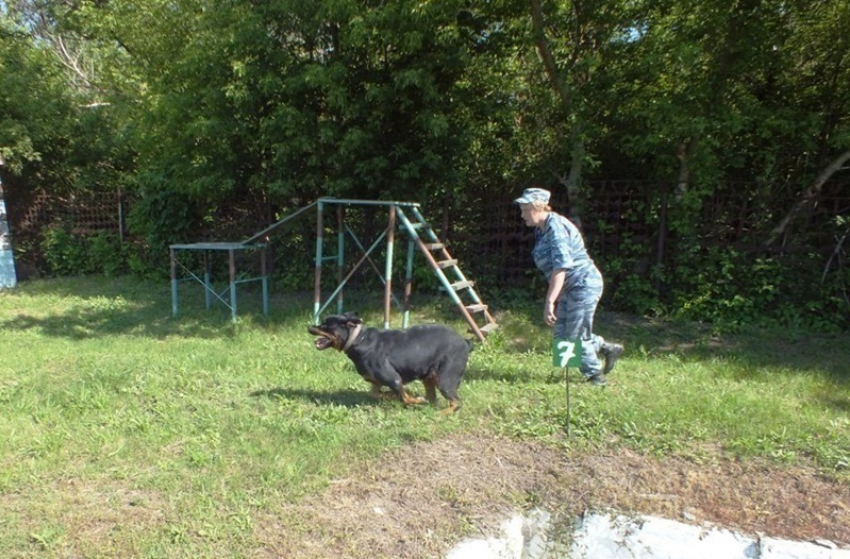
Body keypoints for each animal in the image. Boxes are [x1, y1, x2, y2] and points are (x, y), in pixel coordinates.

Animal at [308, 312, 474, 414]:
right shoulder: (377, 382)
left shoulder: (393, 378)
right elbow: (376, 394)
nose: (309, 326)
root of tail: (465, 342)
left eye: (325, 325)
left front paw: (415, 400)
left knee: (456, 402)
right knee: (433, 398)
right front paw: (390, 396)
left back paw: (440, 413)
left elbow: (405, 398)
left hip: (445, 379)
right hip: (428, 376)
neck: (359, 340)